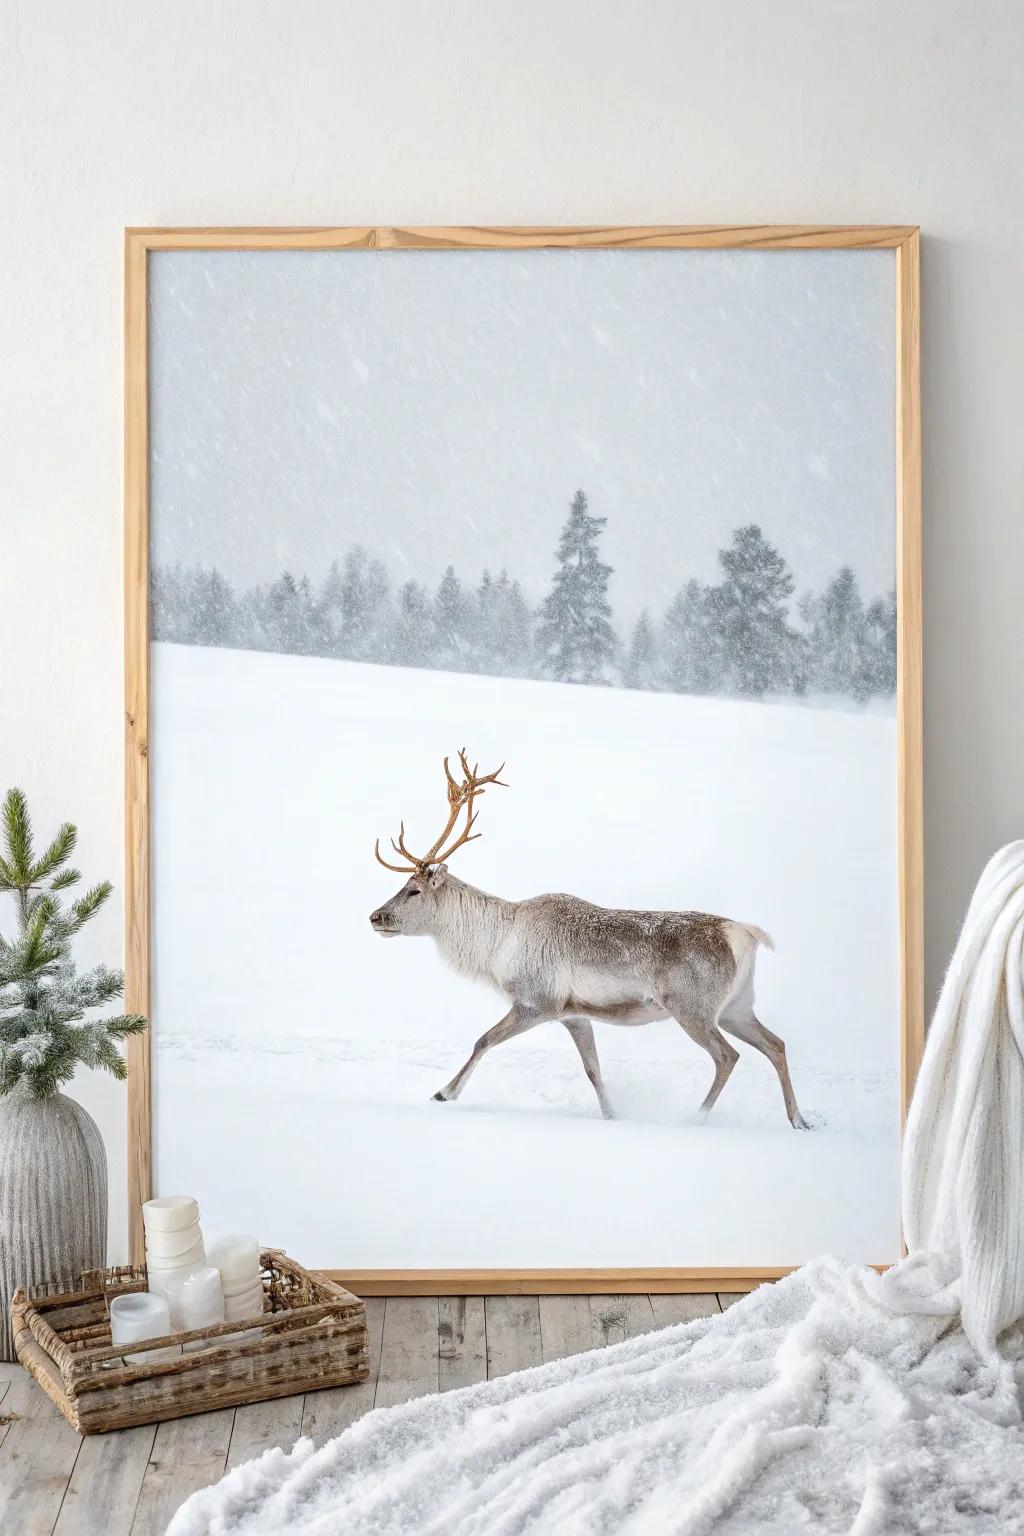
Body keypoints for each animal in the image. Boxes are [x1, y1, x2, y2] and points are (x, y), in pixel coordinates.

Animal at [369, 750, 808, 1130]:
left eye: (414, 890)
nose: (375, 917)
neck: (497, 948)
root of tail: (746, 934)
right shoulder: (574, 1014)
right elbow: (594, 1069)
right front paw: (611, 1116)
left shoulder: (537, 1001)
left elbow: (483, 1040)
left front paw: (442, 1093)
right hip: (737, 1006)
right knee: (777, 1045)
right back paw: (799, 1120)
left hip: (693, 1008)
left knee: (728, 1056)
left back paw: (696, 1118)